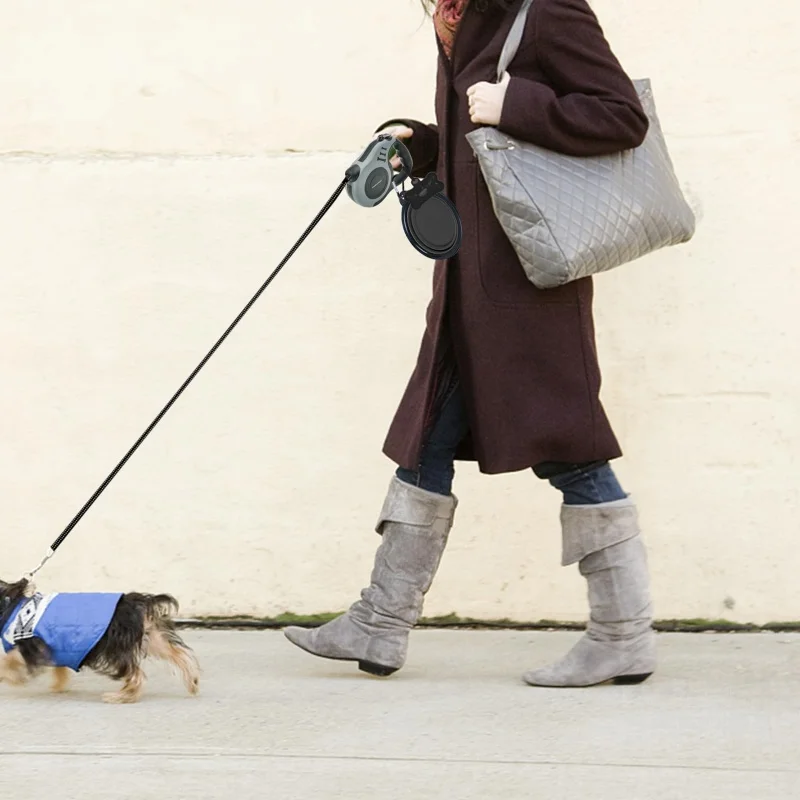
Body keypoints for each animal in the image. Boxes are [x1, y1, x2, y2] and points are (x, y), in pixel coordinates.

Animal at [0, 580, 200, 704]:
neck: (10, 605)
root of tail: (139, 602)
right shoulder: (58, 648)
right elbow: (59, 669)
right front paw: (58, 686)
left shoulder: (30, 645)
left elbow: (8, 660)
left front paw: (10, 678)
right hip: (152, 637)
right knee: (178, 653)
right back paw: (192, 682)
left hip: (114, 646)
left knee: (136, 674)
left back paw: (121, 697)